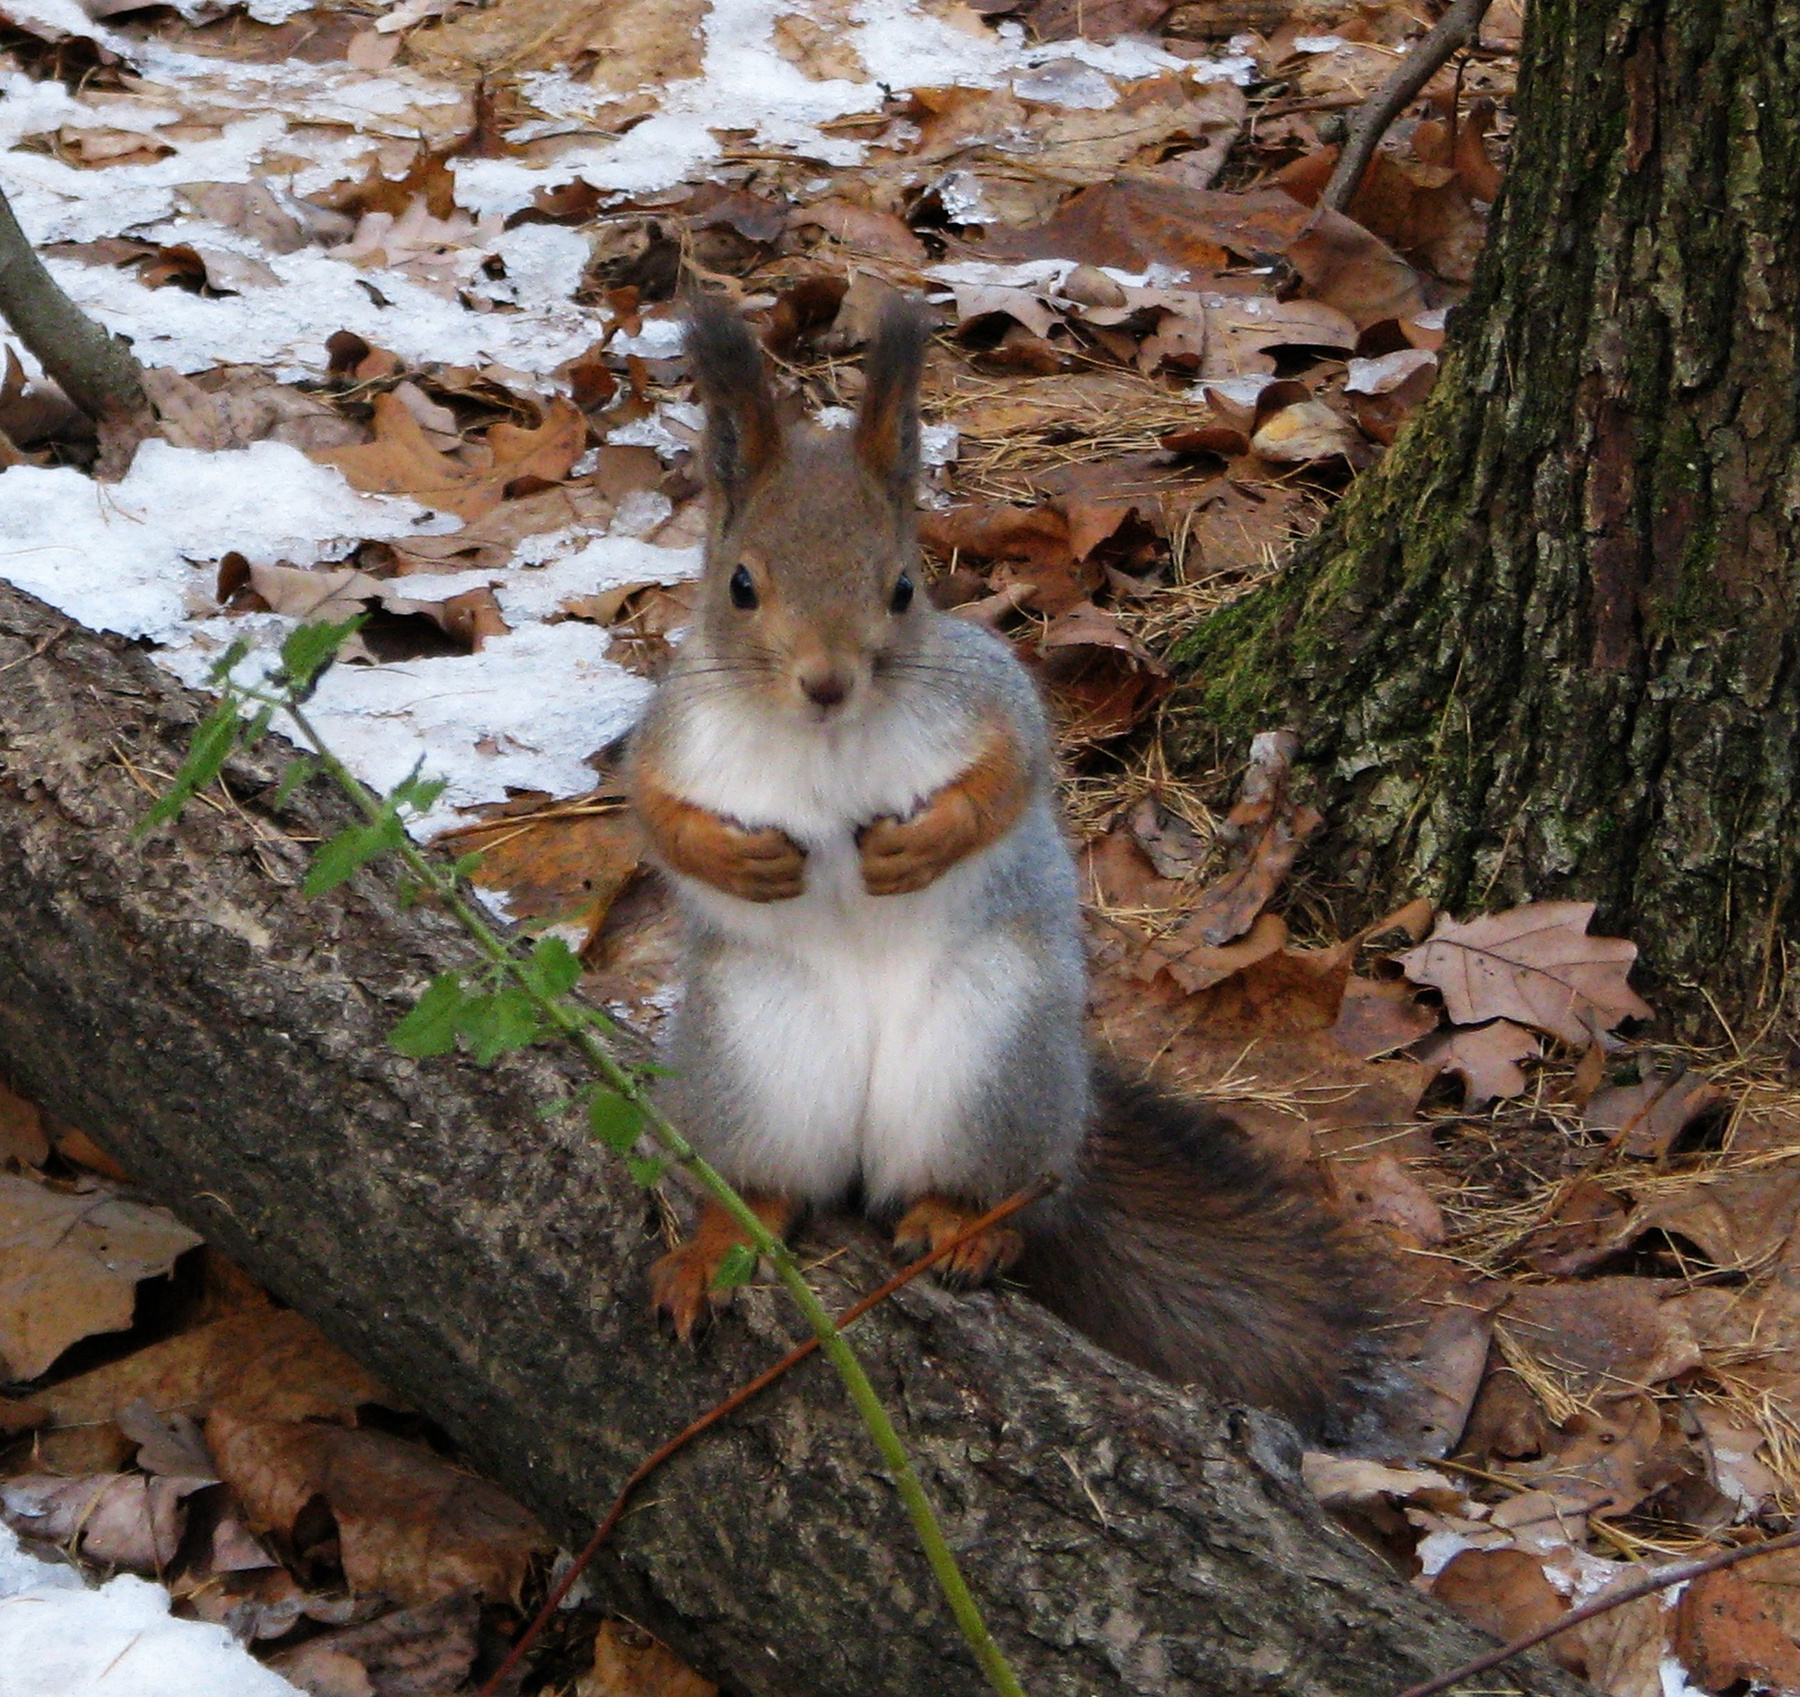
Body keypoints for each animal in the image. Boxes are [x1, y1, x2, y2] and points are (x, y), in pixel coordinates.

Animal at [626, 294, 1386, 1444]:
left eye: (904, 587)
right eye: (740, 584)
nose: (827, 680)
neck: (823, 742)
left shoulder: (987, 693)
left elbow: (1014, 767)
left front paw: (921, 844)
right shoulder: (673, 734)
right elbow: (655, 815)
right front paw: (736, 857)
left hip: (991, 1053)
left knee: (1000, 1195)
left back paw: (965, 1224)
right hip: (752, 1061)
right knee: (772, 1186)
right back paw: (724, 1239)